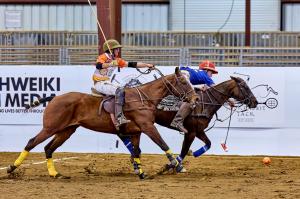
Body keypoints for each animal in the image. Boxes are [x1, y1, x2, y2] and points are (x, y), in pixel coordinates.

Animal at [6, 67, 197, 180]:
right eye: (183, 81)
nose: (195, 99)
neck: (144, 98)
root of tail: (54, 97)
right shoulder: (148, 127)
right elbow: (162, 144)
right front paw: (176, 165)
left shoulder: (136, 132)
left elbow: (136, 152)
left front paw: (142, 173)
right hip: (50, 127)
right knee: (32, 142)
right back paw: (11, 169)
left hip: (67, 130)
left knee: (48, 148)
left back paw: (55, 173)